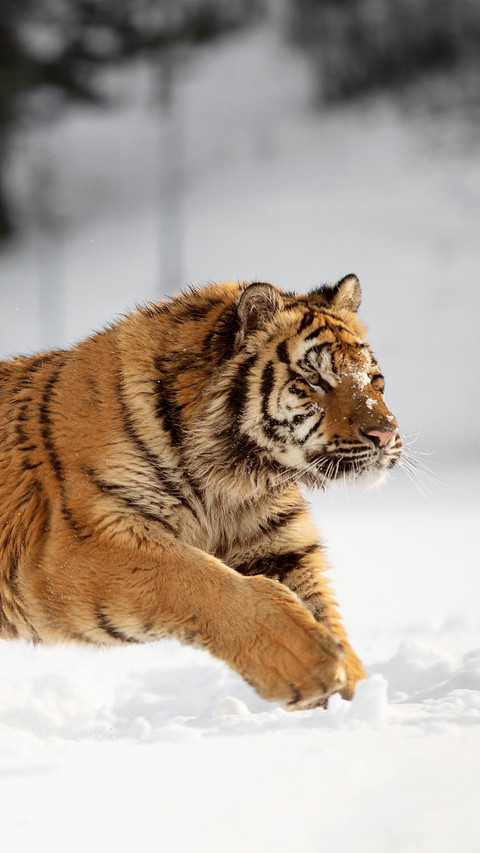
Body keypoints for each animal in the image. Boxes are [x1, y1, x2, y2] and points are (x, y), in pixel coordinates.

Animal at [0, 273, 401, 709]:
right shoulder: (77, 544)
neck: (236, 475)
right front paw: (311, 661)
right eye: (313, 380)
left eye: (373, 380)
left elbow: (324, 613)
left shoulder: (276, 545)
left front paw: (356, 697)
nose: (385, 434)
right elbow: (198, 581)